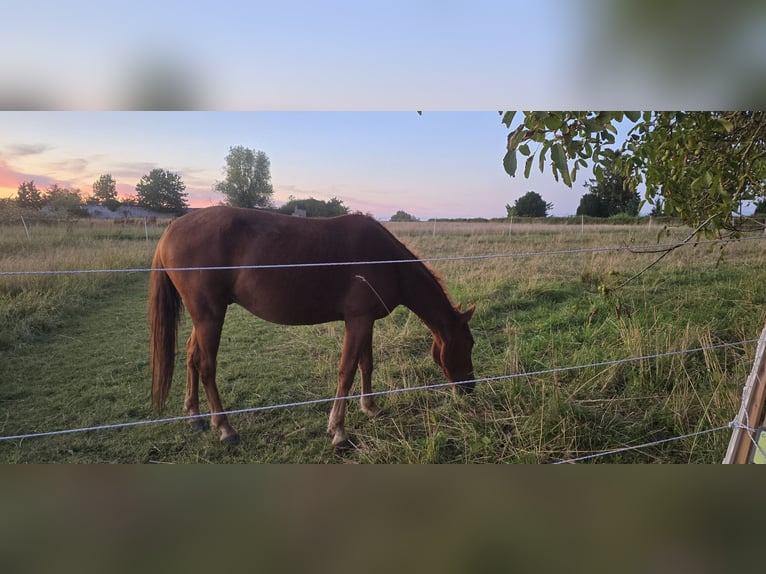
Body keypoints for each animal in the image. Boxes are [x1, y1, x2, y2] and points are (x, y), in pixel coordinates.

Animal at [148, 206, 475, 447]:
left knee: (192, 356)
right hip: (210, 316)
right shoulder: (357, 321)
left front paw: (370, 408)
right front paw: (339, 431)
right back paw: (225, 428)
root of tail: (169, 232)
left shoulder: (365, 320)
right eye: (470, 345)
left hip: (204, 316)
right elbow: (346, 371)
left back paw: (195, 416)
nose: (469, 388)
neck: (388, 261)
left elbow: (366, 364)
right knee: (206, 366)